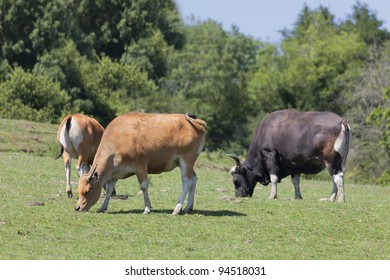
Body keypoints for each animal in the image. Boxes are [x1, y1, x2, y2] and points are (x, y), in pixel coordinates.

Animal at [74, 111, 207, 214]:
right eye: (78, 191)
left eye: (87, 191)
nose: (77, 207)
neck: (118, 139)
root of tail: (196, 122)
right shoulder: (114, 173)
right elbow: (109, 190)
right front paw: (102, 207)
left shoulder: (140, 166)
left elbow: (143, 186)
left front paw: (147, 208)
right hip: (186, 163)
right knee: (194, 179)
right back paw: (188, 207)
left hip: (186, 160)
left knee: (186, 182)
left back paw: (177, 208)